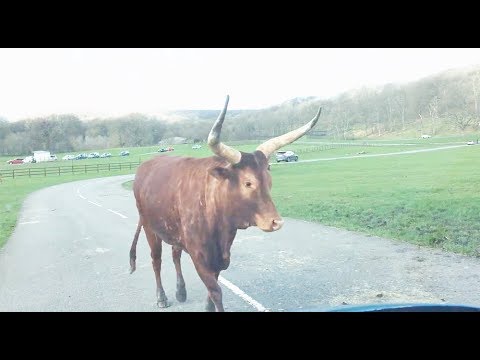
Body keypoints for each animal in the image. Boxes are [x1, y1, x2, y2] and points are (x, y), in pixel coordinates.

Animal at [129, 96, 320, 312]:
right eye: (248, 183)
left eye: (269, 181)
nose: (276, 222)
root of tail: (146, 166)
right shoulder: (200, 257)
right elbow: (216, 292)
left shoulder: (221, 256)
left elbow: (212, 289)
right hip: (149, 227)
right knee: (156, 259)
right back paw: (162, 297)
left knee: (175, 254)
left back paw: (181, 291)